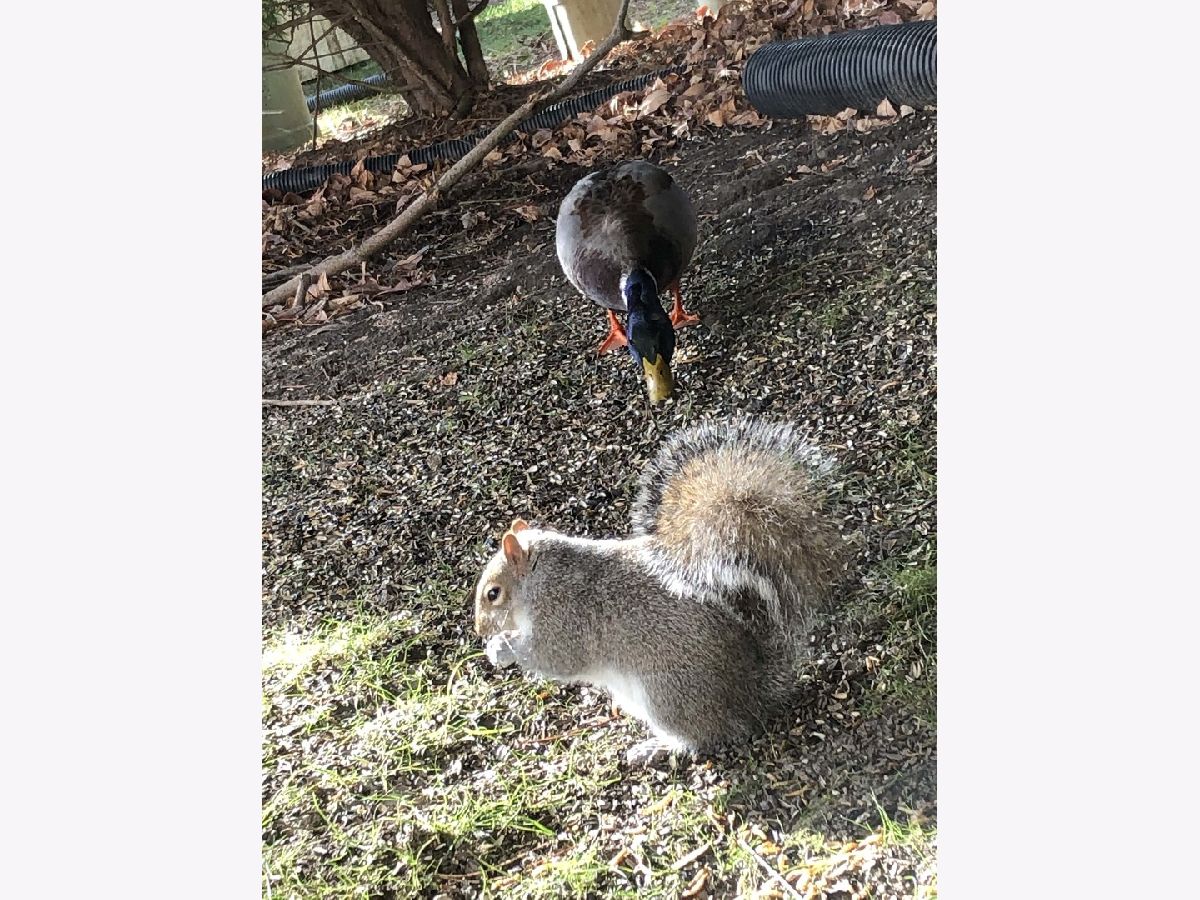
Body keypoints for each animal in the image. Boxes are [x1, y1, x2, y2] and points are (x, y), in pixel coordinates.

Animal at [471, 416, 846, 765]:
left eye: (493, 593)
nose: (479, 630)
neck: (541, 580)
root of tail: (752, 694)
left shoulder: (565, 619)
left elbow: (553, 657)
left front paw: (501, 648)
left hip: (667, 696)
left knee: (705, 736)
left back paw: (657, 748)